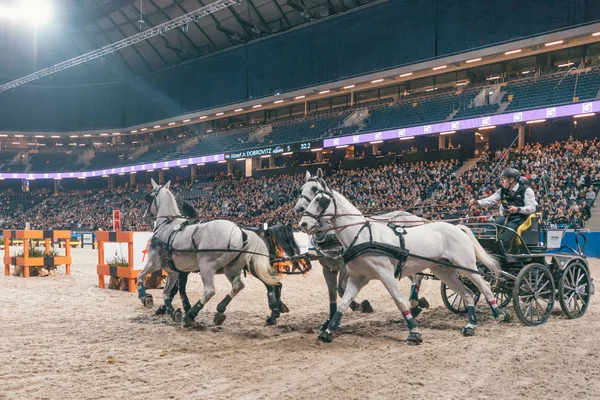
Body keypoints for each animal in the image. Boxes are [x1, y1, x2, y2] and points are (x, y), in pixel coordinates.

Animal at [136, 180, 278, 326]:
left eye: (150, 196)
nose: (146, 215)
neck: (167, 225)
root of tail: (241, 231)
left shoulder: (154, 263)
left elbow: (140, 277)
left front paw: (145, 297)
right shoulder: (173, 271)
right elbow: (167, 292)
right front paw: (171, 311)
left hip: (207, 266)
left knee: (210, 291)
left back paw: (192, 314)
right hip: (231, 268)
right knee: (238, 286)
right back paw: (220, 310)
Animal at [298, 183, 508, 342]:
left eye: (320, 200)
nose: (302, 224)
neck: (362, 235)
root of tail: (457, 227)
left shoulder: (385, 274)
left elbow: (399, 301)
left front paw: (414, 332)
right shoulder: (358, 277)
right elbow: (342, 302)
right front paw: (328, 331)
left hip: (467, 267)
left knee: (484, 286)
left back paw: (499, 314)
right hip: (444, 271)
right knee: (467, 294)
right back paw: (470, 324)